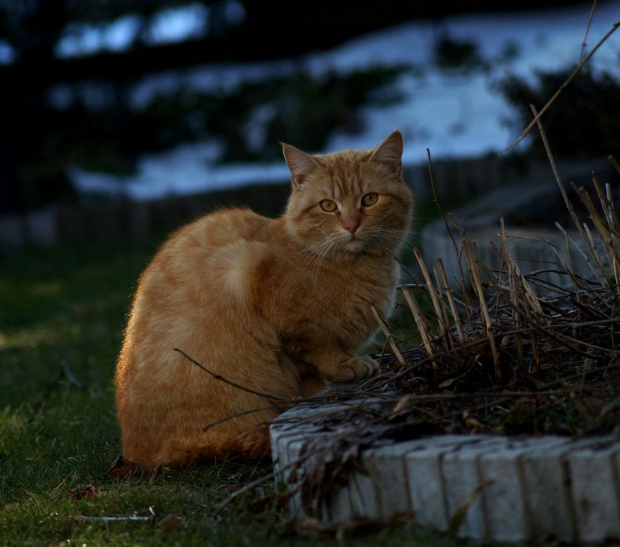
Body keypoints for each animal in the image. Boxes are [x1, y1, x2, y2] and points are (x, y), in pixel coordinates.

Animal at [115, 130, 416, 470]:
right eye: (327, 205)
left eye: (370, 199)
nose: (351, 225)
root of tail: (137, 455)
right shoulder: (265, 292)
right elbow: (319, 350)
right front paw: (345, 366)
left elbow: (310, 377)